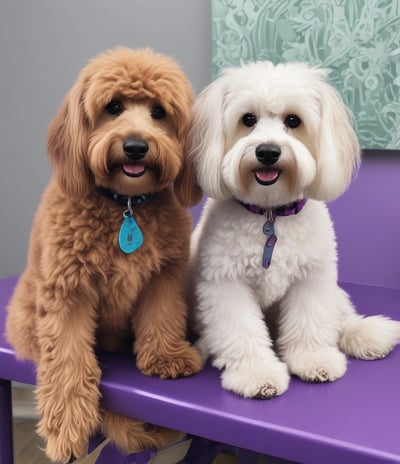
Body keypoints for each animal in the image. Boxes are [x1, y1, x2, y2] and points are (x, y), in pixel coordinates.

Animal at [7, 46, 203, 460]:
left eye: (159, 112)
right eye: (113, 106)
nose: (136, 146)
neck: (124, 204)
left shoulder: (163, 277)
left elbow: (162, 317)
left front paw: (166, 358)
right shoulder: (67, 294)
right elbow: (67, 363)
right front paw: (67, 428)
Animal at [186, 61, 400, 398]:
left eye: (293, 120)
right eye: (248, 119)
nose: (268, 151)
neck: (270, 212)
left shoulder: (312, 278)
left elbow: (310, 321)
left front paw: (314, 359)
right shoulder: (226, 283)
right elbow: (242, 331)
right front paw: (256, 374)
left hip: (334, 294)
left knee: (341, 316)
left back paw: (367, 334)